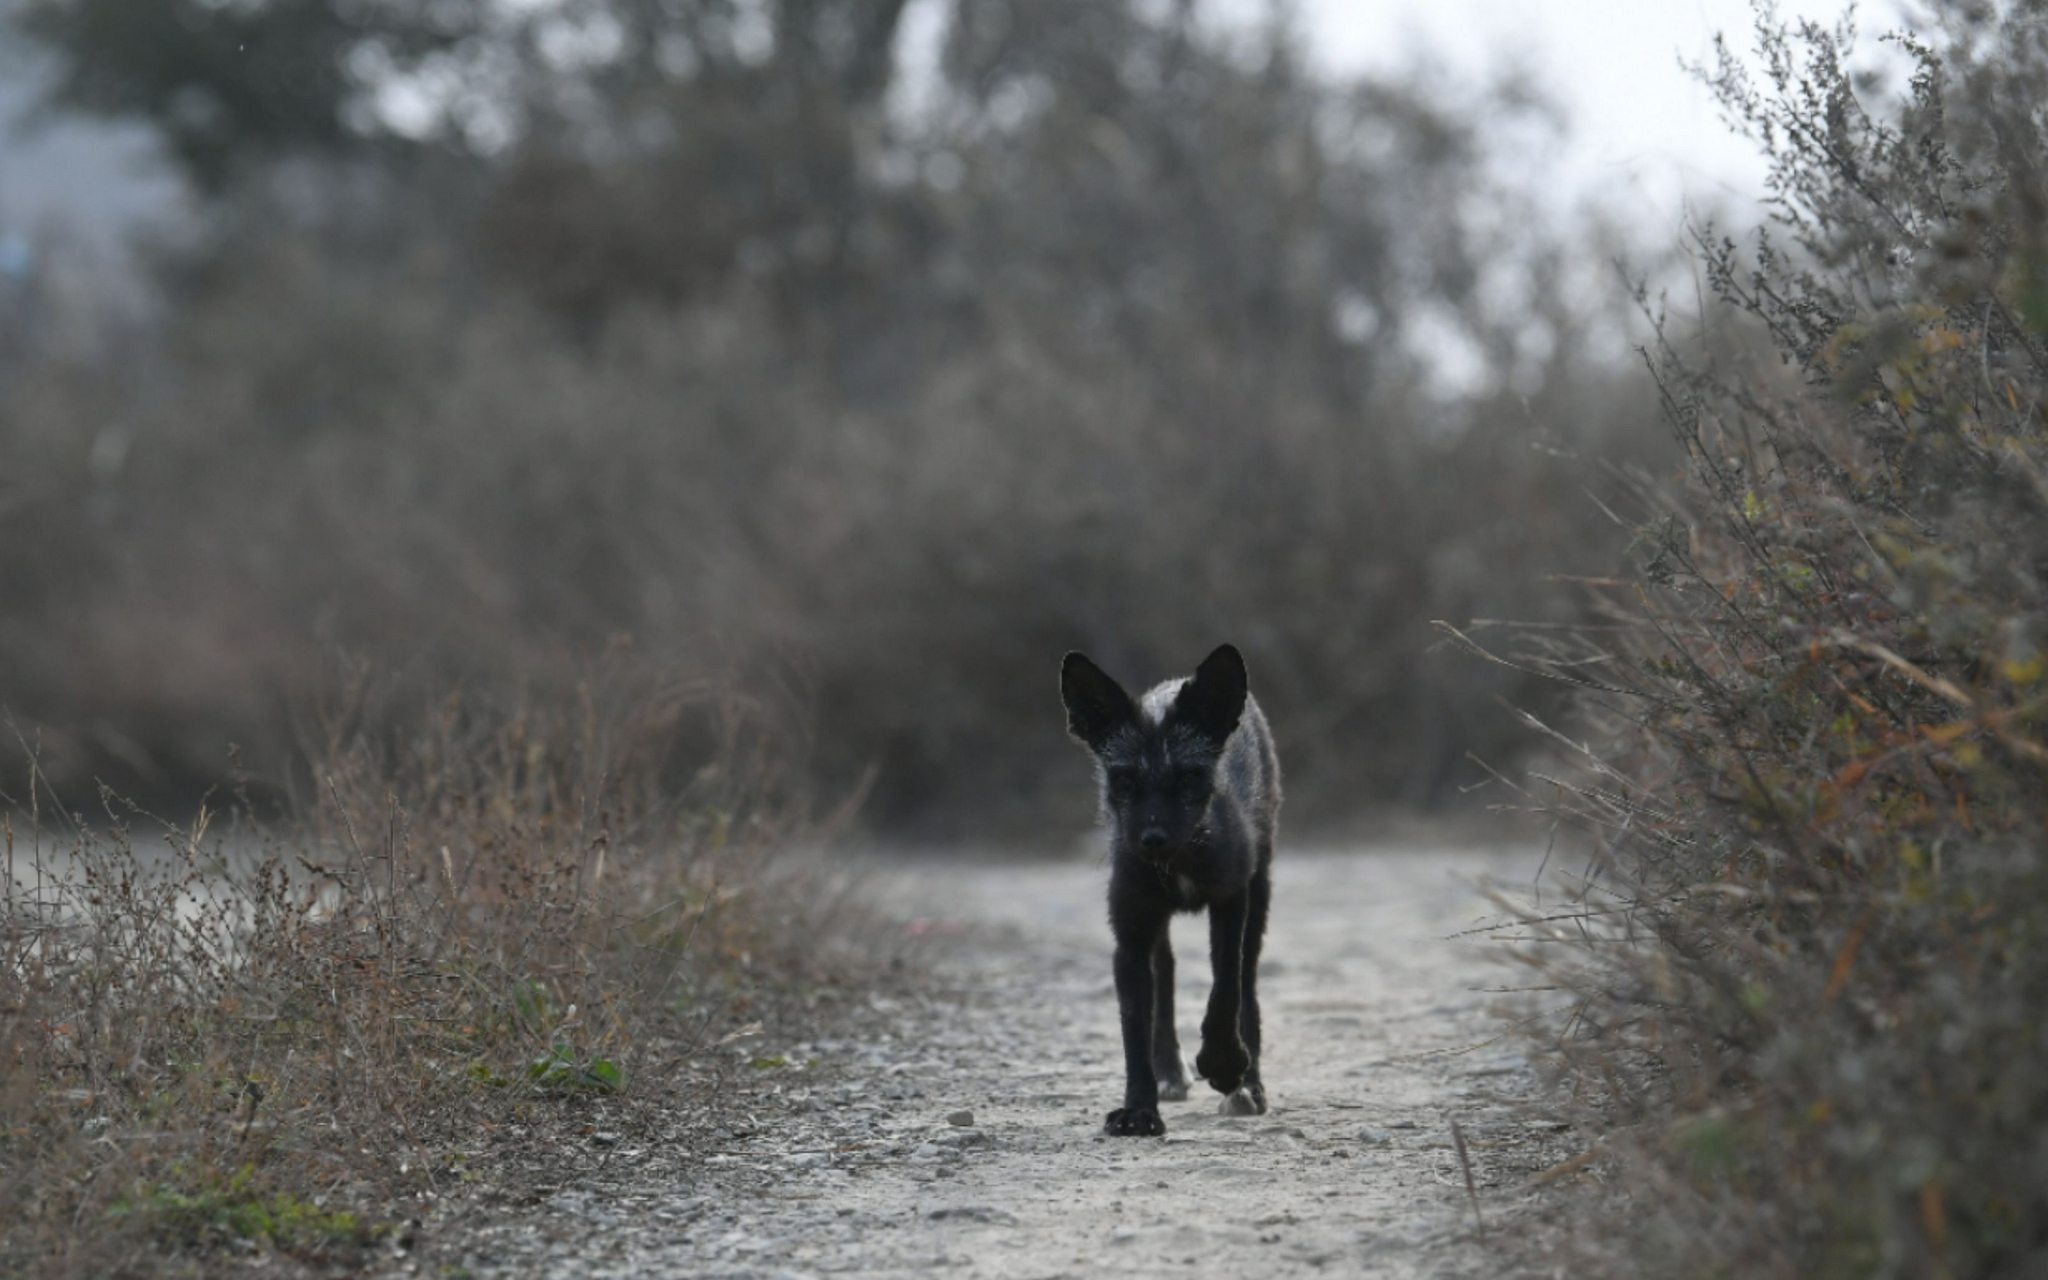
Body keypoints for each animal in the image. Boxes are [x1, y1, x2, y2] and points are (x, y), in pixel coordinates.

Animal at [1056, 643, 1277, 1130]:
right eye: (1123, 779)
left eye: (1188, 776)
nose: (1151, 840)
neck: (1178, 866)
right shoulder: (1131, 934)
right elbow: (1135, 1030)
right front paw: (1139, 1110)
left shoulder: (1231, 901)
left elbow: (1225, 991)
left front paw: (1224, 1063)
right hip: (1155, 926)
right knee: (1168, 974)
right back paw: (1170, 1071)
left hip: (1259, 894)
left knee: (1247, 985)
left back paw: (1250, 1082)